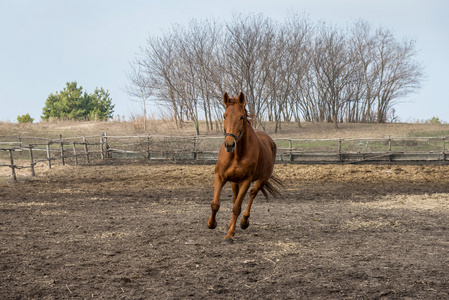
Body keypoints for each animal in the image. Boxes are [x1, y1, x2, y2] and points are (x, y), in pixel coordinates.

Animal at [206, 92, 280, 244]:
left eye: (241, 117)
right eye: (224, 115)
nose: (229, 144)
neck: (237, 154)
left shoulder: (246, 180)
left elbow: (236, 208)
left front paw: (230, 235)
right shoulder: (220, 177)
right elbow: (215, 203)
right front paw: (211, 224)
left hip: (261, 180)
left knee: (252, 194)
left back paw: (244, 222)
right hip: (234, 182)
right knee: (235, 196)